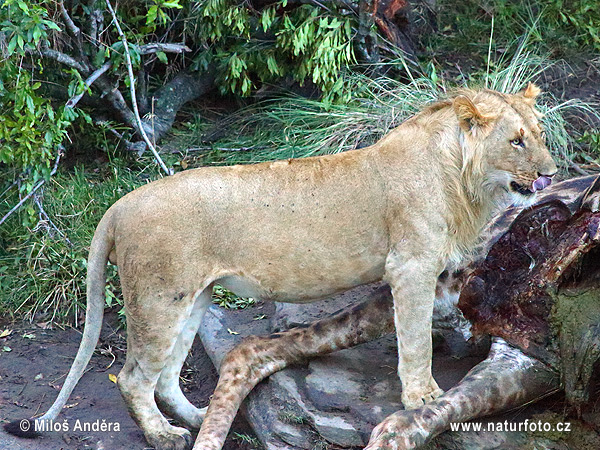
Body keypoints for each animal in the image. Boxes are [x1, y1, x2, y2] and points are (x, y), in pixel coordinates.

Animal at [4, 82, 556, 448]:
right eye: (516, 140)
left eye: (541, 134)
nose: (552, 174)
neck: (464, 180)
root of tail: (119, 205)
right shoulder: (411, 267)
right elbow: (416, 339)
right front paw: (422, 399)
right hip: (159, 300)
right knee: (135, 377)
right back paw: (165, 435)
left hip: (193, 298)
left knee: (165, 374)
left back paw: (200, 416)